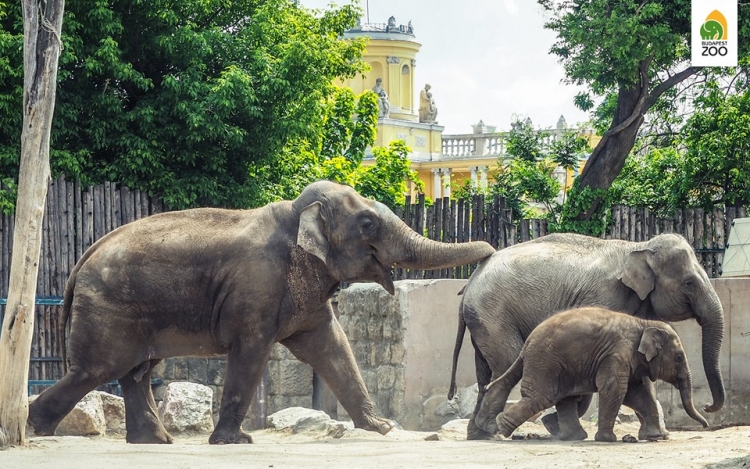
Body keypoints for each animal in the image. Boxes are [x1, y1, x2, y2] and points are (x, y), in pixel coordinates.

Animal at [30, 181, 500, 444]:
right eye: (367, 224)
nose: (491, 254)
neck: (295, 212)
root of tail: (81, 260)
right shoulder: (258, 288)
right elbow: (253, 351)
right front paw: (235, 442)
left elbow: (332, 345)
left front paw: (381, 428)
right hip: (110, 308)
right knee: (98, 369)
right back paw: (37, 428)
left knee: (135, 373)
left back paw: (154, 443)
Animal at [482, 306, 712, 440]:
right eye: (679, 358)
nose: (707, 423)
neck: (644, 323)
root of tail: (527, 343)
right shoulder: (617, 353)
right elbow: (615, 389)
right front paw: (608, 440)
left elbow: (639, 393)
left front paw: (657, 437)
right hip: (545, 362)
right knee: (541, 398)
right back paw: (502, 429)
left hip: (561, 366)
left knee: (564, 398)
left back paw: (574, 437)